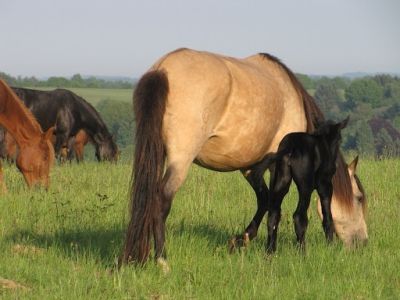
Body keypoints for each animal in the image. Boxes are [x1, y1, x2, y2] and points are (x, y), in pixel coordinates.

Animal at [120, 49, 368, 270]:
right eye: (359, 198)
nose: (362, 242)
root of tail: (163, 69)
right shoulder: (281, 168)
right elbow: (275, 207)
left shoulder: (251, 168)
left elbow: (264, 199)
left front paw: (242, 239)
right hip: (180, 159)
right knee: (161, 199)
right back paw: (162, 259)